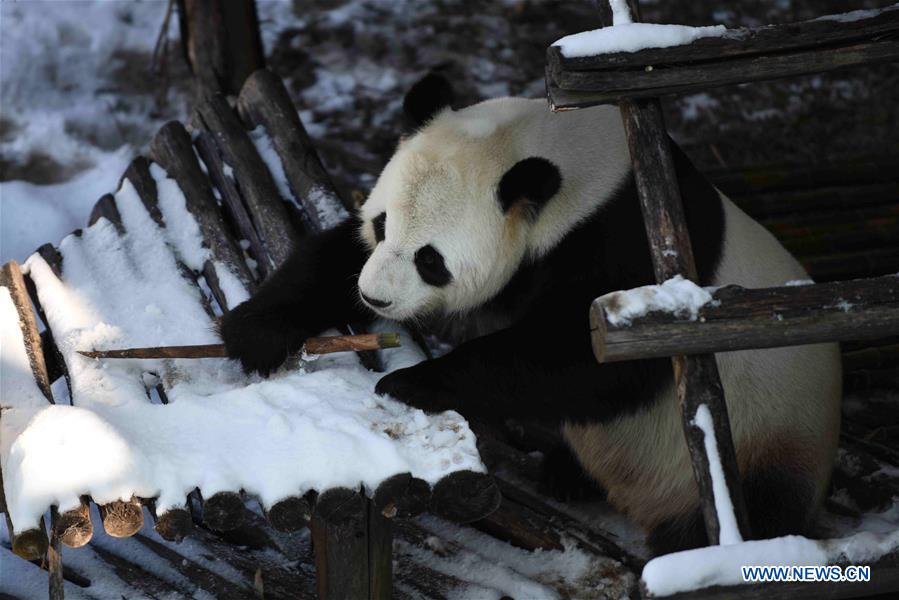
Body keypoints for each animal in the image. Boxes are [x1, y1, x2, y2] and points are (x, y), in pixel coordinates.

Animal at [220, 72, 844, 556]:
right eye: (381, 223)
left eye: (431, 260)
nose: (374, 299)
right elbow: (337, 258)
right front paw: (256, 332)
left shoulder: (625, 240)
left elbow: (591, 359)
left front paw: (414, 382)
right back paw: (566, 475)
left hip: (768, 435)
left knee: (750, 513)